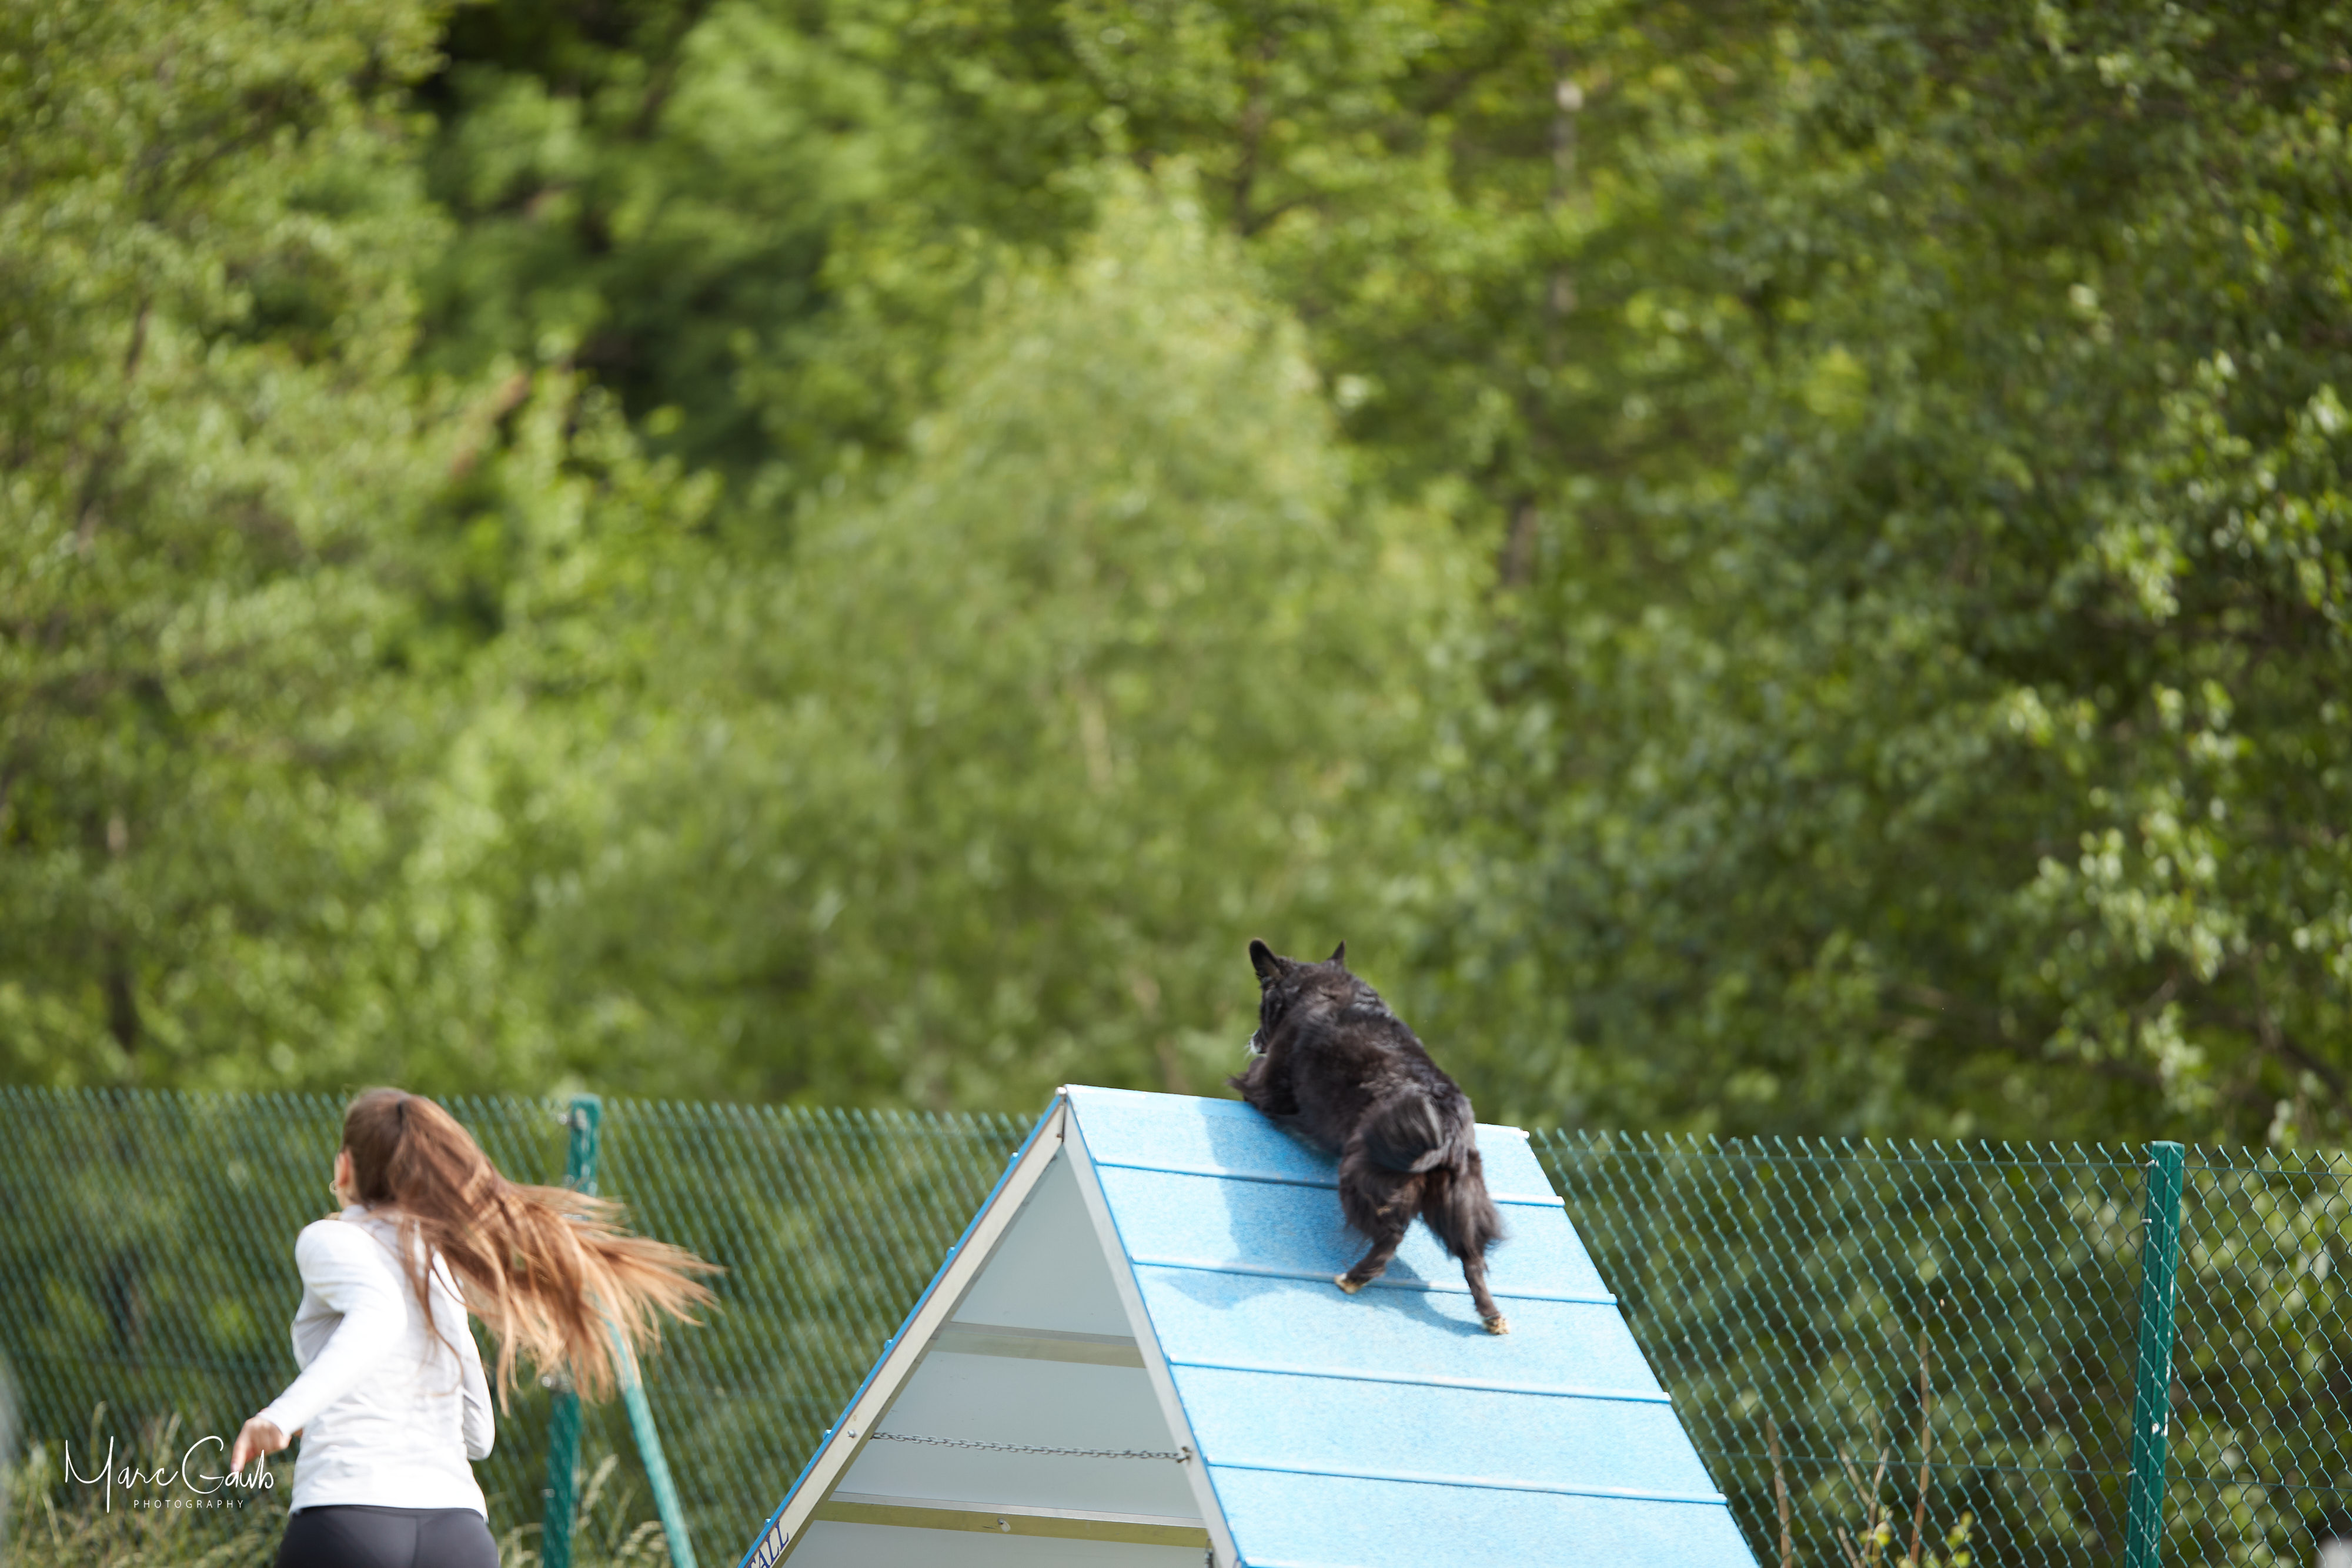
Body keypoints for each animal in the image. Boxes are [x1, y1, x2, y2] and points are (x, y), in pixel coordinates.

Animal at [1228, 940, 1509, 1334]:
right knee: (1473, 1260)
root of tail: (1448, 1126)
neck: (1320, 990)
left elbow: (1249, 1083)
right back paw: (1493, 1318)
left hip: (1359, 1174)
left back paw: (1353, 1278)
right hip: (1458, 1203)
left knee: (1390, 1238)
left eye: (1262, 1006)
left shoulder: (1266, 1084)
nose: (1254, 1040)